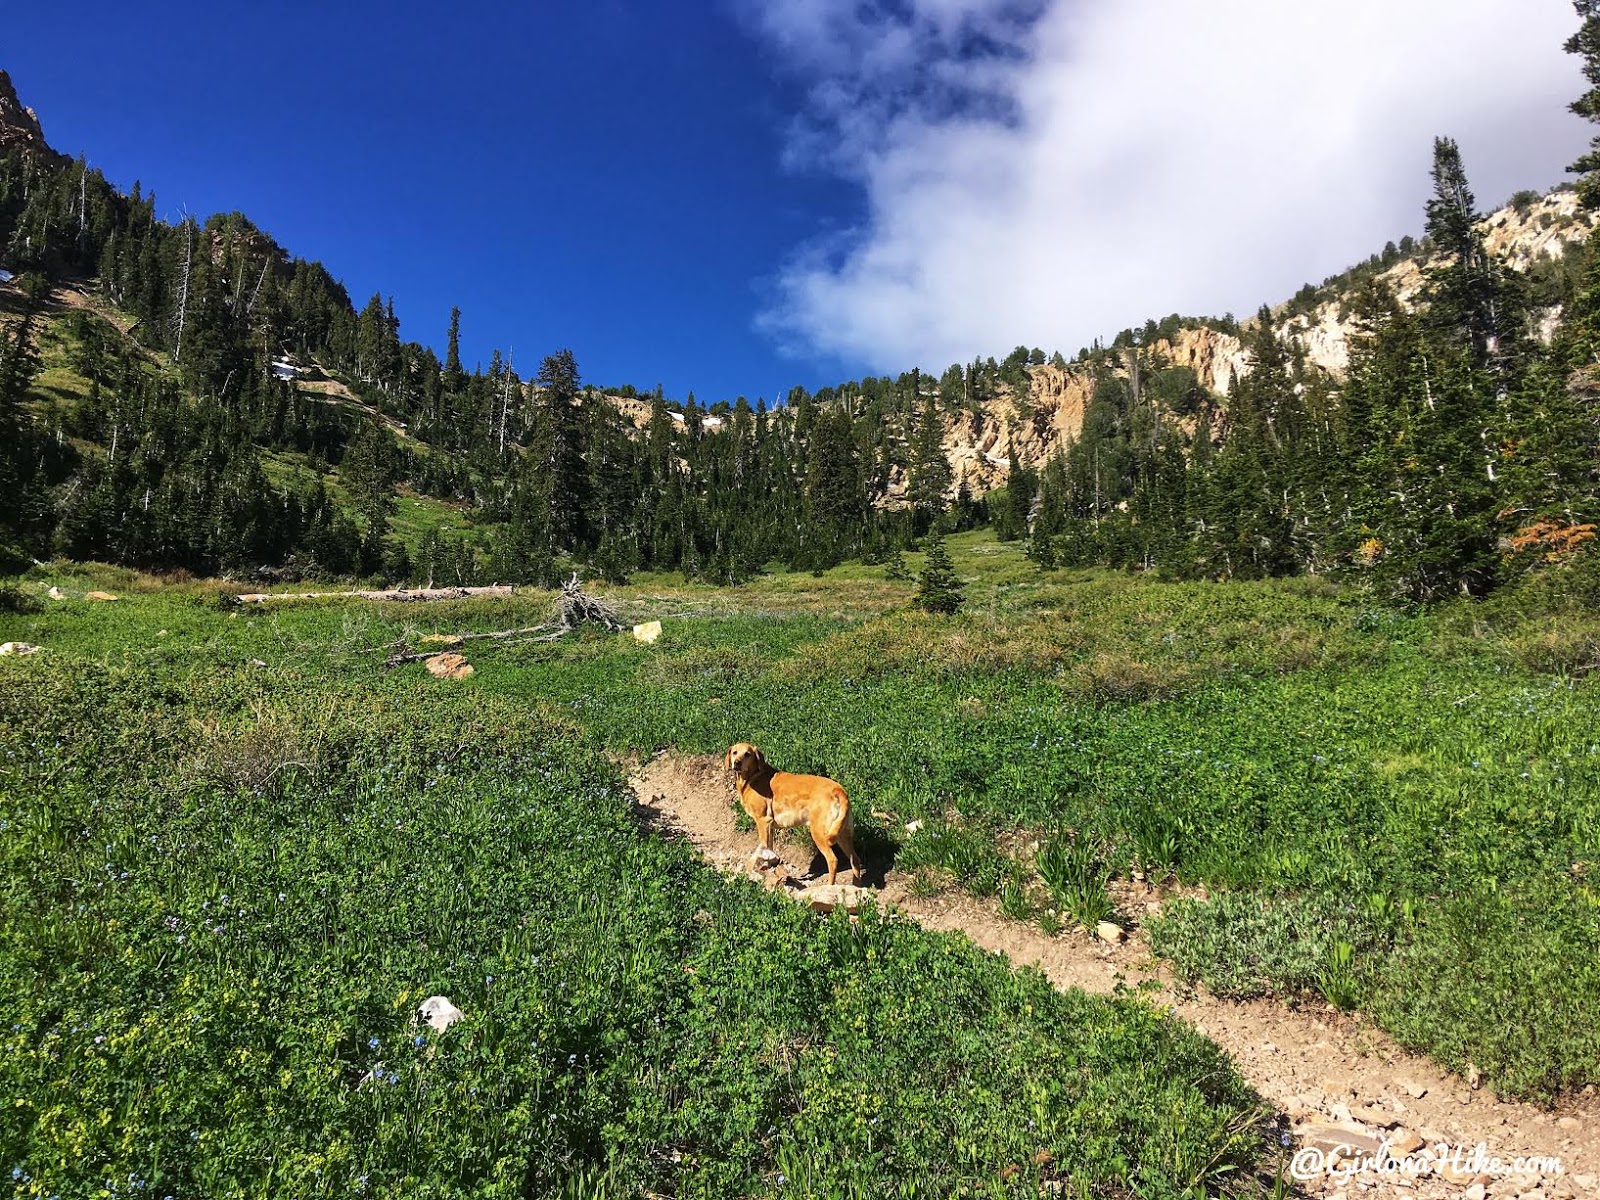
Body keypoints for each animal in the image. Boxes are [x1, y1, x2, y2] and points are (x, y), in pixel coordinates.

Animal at [729, 742, 864, 896]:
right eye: (734, 752)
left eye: (747, 754)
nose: (736, 763)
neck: (753, 776)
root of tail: (839, 790)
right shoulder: (770, 826)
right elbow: (769, 848)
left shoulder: (763, 821)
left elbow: (763, 846)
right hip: (842, 834)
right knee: (855, 860)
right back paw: (857, 887)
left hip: (819, 833)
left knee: (833, 860)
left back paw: (828, 887)